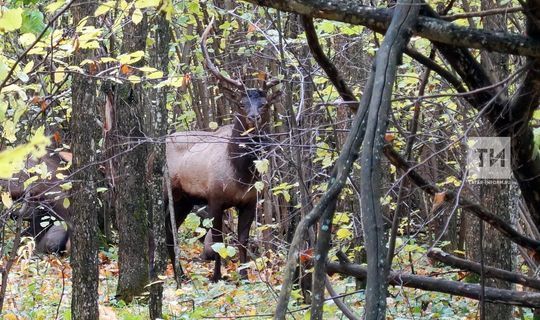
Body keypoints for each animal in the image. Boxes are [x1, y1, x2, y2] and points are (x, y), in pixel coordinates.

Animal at [165, 18, 280, 282]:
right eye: (241, 103)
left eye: (264, 104)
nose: (253, 117)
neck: (242, 174)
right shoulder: (215, 198)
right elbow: (218, 240)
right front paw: (217, 276)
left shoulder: (249, 202)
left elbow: (243, 239)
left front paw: (244, 276)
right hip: (170, 190)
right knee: (168, 228)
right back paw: (179, 274)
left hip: (186, 198)